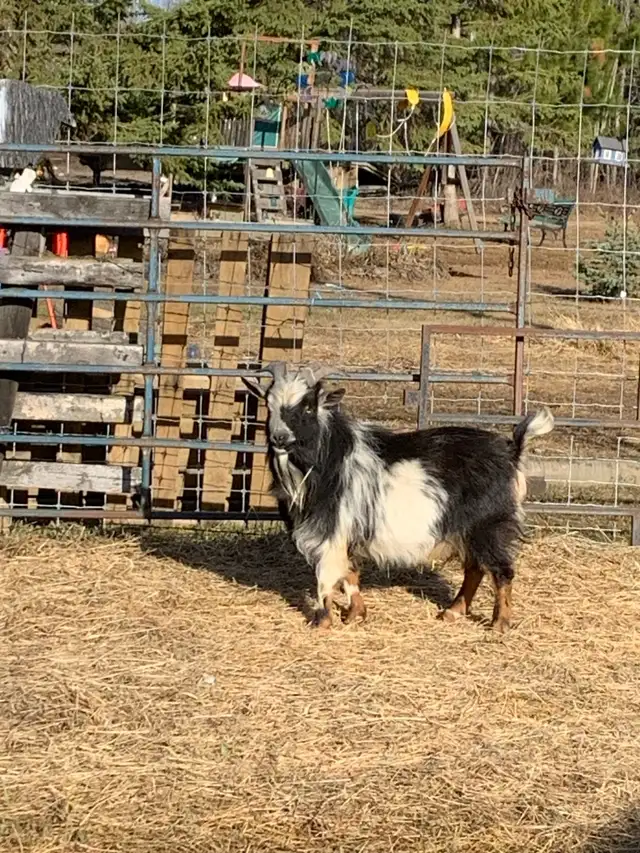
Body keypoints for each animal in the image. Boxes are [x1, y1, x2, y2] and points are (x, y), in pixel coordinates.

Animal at [243, 362, 554, 633]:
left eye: (308, 406)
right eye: (268, 404)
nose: (279, 438)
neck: (329, 457)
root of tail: (512, 450)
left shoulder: (331, 531)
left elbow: (326, 578)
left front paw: (323, 623)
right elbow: (350, 574)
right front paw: (356, 615)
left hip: (490, 525)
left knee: (502, 571)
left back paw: (499, 623)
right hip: (468, 529)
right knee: (475, 568)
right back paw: (452, 612)